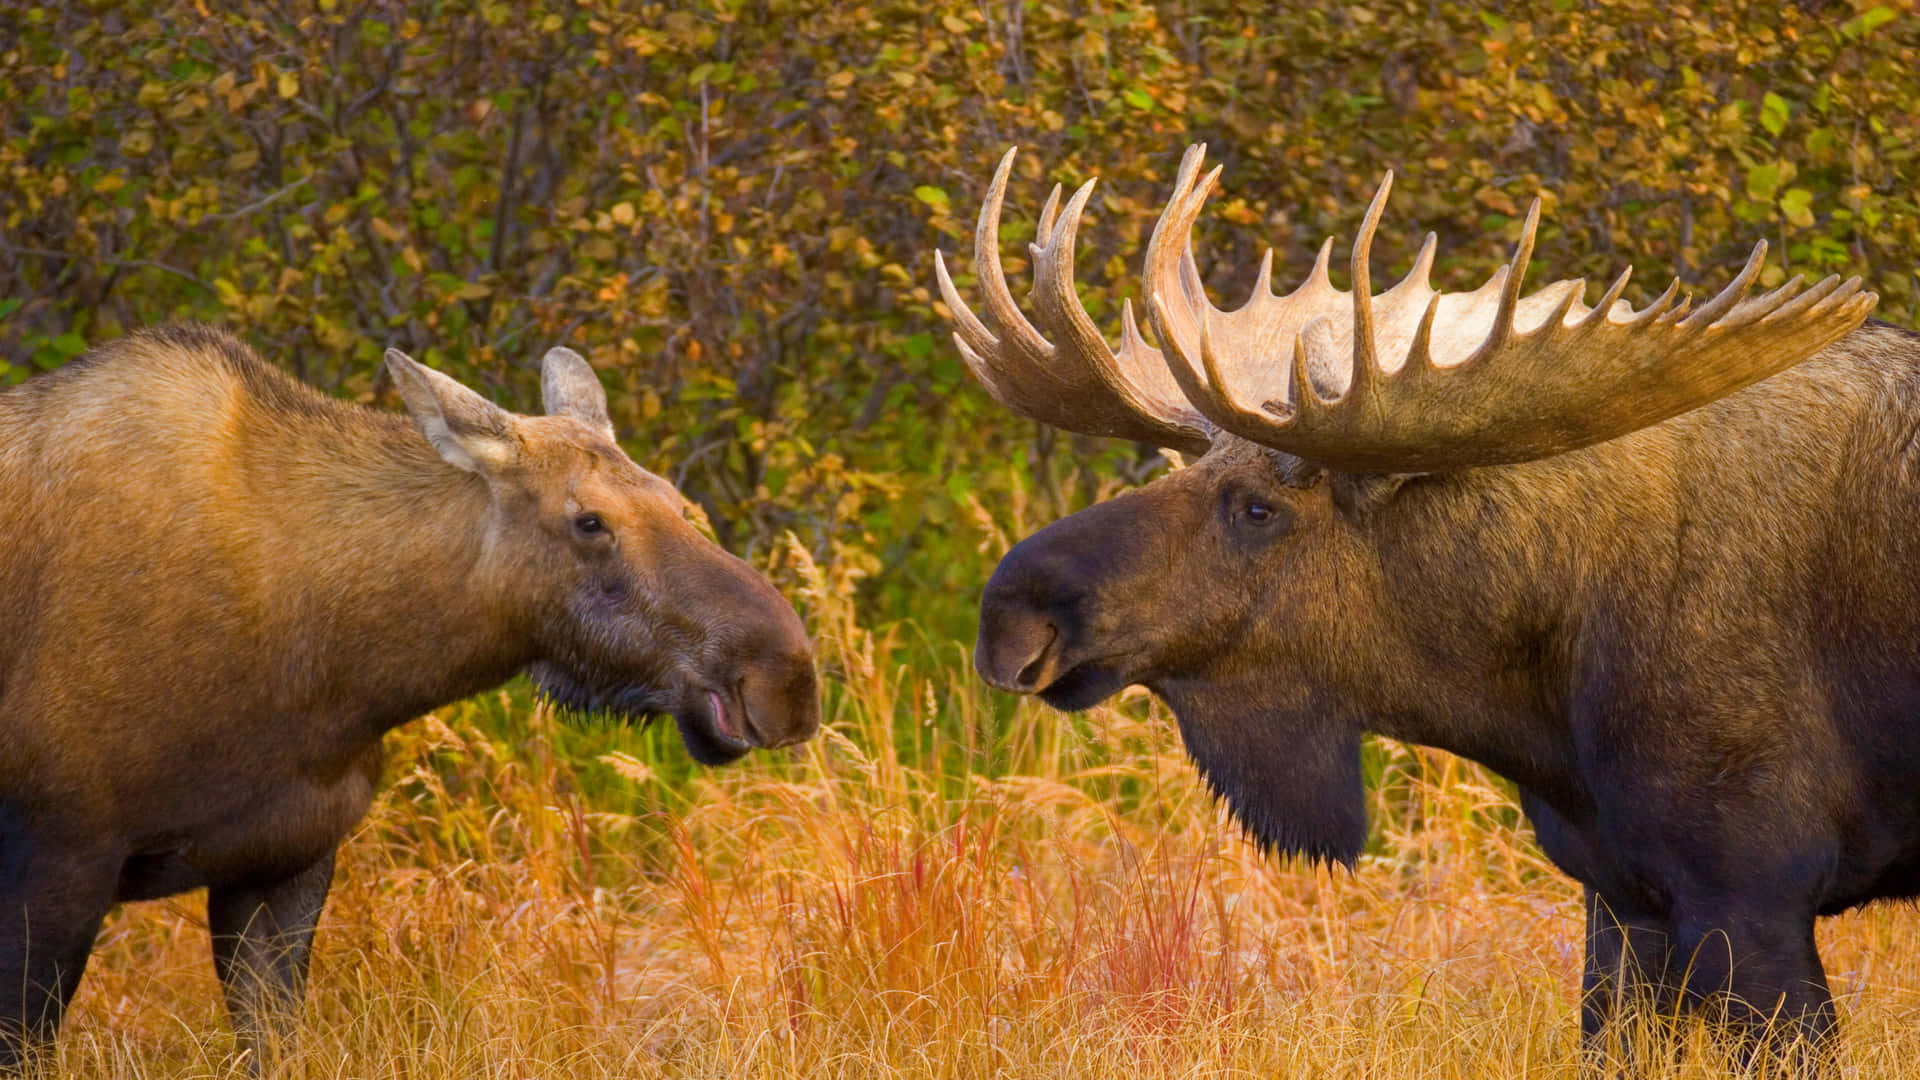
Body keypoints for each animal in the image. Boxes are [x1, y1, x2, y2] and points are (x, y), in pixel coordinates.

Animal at [0, 322, 817, 1060]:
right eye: (589, 521)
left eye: (679, 502)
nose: (786, 679)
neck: (336, 673)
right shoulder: (58, 861)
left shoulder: (283, 859)